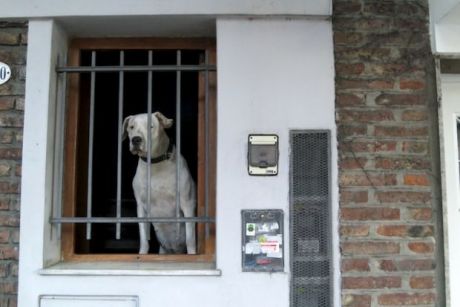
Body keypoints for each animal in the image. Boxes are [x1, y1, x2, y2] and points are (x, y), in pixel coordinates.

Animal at [122, 113, 196, 255]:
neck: (155, 164)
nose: (135, 140)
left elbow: (190, 237)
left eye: (150, 126)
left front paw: (193, 254)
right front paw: (142, 253)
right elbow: (143, 237)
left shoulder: (187, 203)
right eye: (131, 127)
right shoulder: (141, 207)